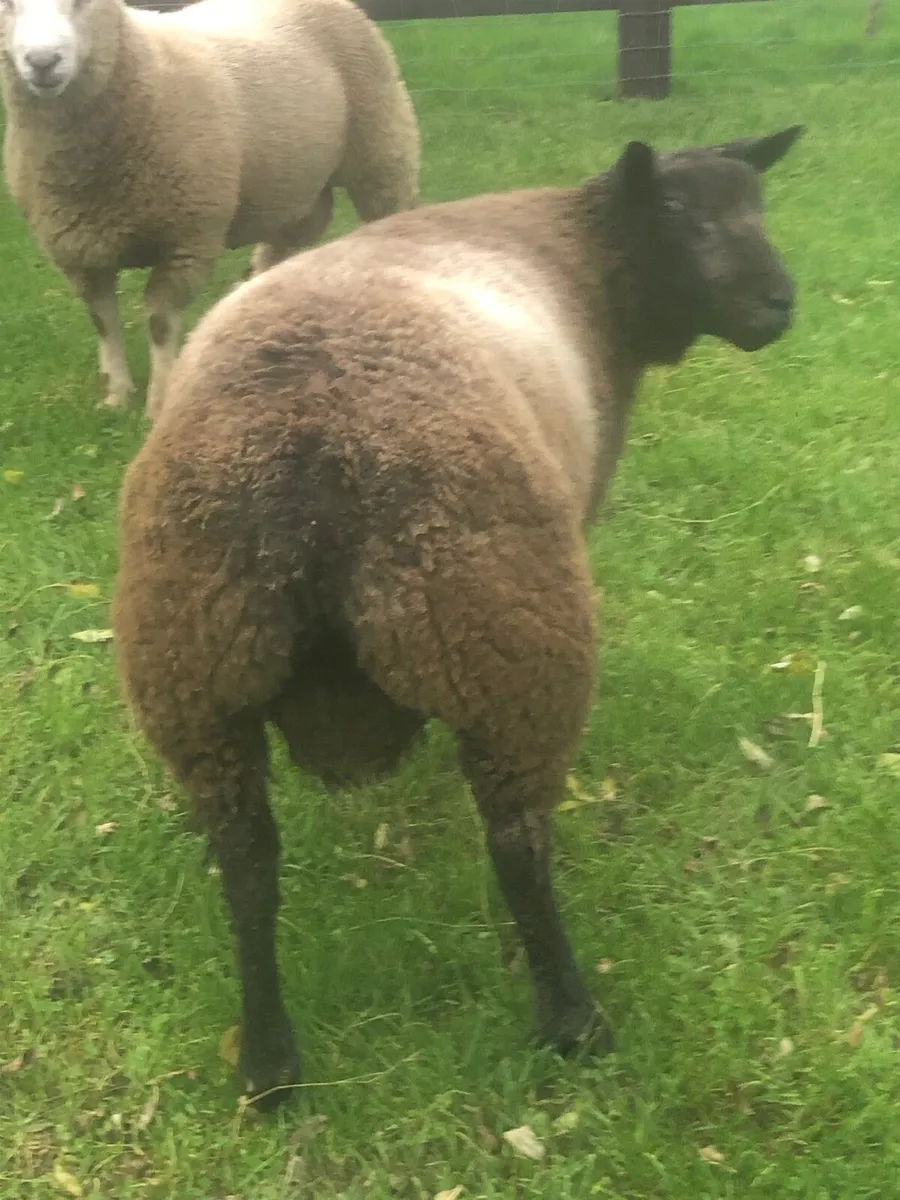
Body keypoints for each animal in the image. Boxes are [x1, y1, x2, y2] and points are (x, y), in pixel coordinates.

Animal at [0, 0, 420, 419]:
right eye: (9, 6)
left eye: (83, 4)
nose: (42, 62)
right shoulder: (78, 252)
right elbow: (103, 322)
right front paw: (116, 395)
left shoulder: (187, 239)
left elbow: (159, 322)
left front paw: (159, 401)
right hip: (291, 189)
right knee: (284, 246)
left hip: (382, 149)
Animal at [111, 125, 803, 1108]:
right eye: (686, 217)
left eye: (756, 205)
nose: (782, 305)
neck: (583, 260)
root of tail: (306, 460)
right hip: (511, 644)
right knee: (516, 845)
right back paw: (571, 1021)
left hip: (191, 668)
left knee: (245, 863)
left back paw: (269, 1063)